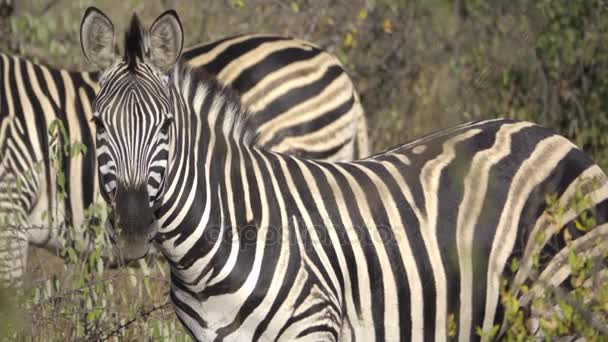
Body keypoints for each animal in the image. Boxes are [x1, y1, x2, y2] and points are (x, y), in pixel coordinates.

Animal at [83, 8, 608, 342]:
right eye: (98, 124)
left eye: (167, 126)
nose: (133, 230)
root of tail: (547, 133)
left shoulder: (313, 326)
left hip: (565, 298)